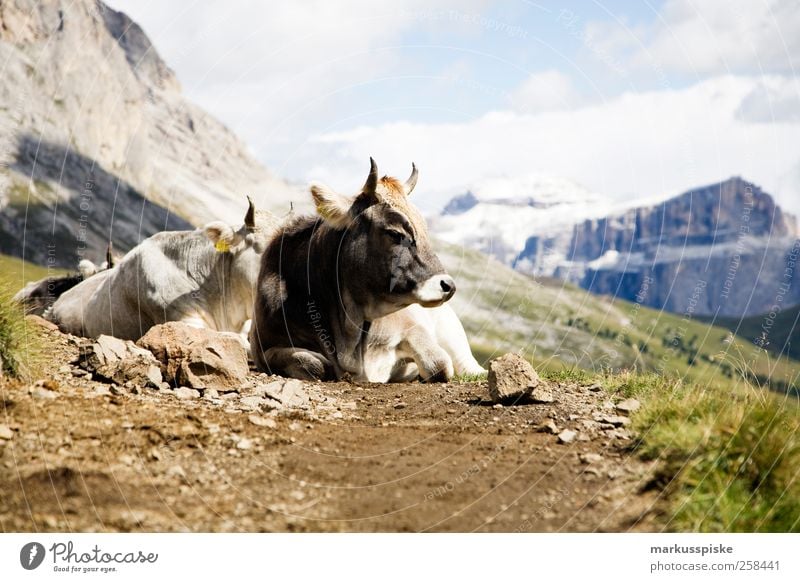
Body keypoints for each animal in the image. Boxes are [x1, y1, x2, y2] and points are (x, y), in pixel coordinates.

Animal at [253, 160, 484, 386]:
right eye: (395, 233)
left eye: (425, 229)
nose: (448, 285)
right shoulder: (263, 348)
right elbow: (315, 364)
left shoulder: (411, 326)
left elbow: (439, 364)